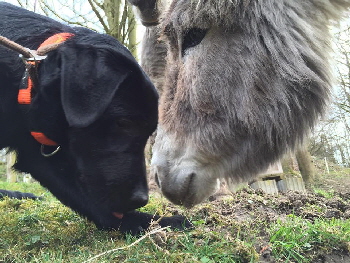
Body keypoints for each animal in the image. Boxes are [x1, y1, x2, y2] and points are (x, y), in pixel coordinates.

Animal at [0, 2, 189, 235]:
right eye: (124, 122)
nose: (141, 200)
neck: (24, 78)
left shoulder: (40, 151)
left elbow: (94, 206)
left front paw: (155, 221)